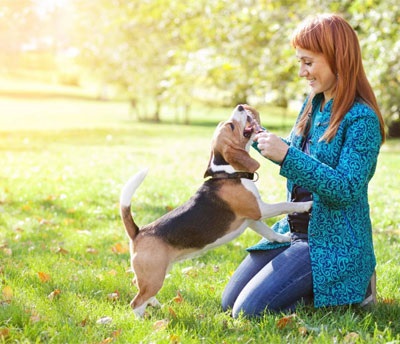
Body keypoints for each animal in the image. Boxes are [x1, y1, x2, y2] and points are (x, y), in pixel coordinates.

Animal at [119, 105, 312, 318]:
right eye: (231, 126)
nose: (241, 106)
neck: (228, 173)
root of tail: (138, 232)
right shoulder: (259, 209)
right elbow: (284, 205)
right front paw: (306, 205)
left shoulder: (252, 219)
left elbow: (269, 232)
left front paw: (284, 238)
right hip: (154, 276)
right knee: (136, 302)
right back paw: (143, 319)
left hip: (157, 272)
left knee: (137, 284)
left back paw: (156, 304)